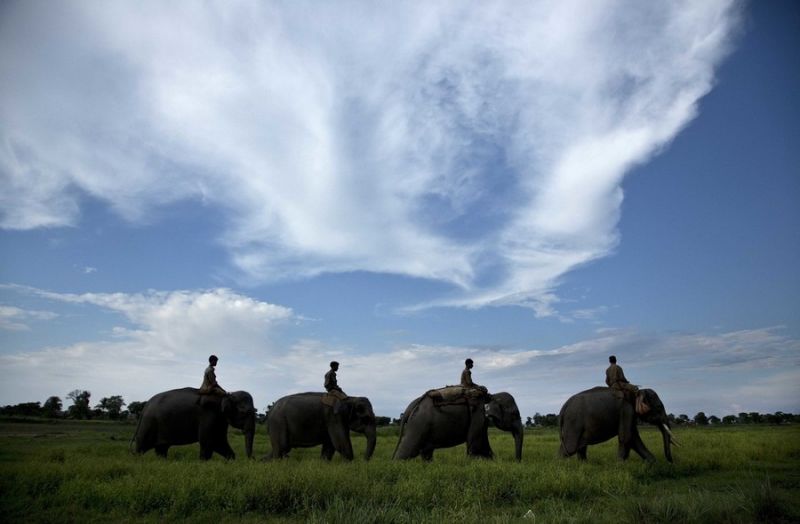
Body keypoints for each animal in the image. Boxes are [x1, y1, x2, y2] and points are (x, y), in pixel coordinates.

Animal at [394, 388, 524, 458]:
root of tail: (410, 407)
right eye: (515, 414)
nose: (517, 461)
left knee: (426, 452)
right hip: (418, 425)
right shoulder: (478, 416)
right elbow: (476, 444)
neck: (491, 396)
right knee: (407, 451)